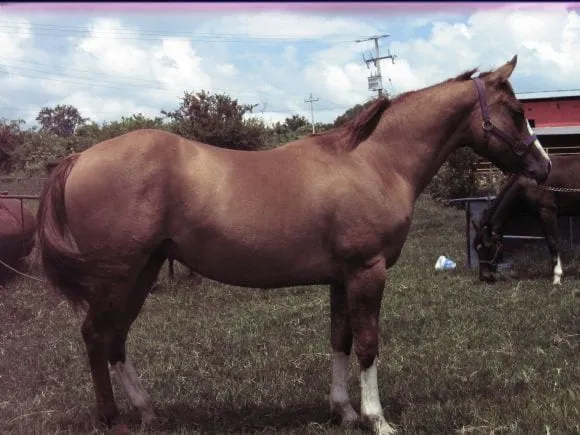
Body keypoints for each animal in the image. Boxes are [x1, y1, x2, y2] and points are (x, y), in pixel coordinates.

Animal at [34, 58, 552, 435]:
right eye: (517, 112)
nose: (544, 166)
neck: (376, 161)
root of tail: (79, 157)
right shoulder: (368, 271)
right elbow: (368, 344)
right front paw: (377, 419)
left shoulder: (343, 278)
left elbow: (340, 340)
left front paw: (343, 412)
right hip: (117, 276)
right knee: (96, 336)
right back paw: (112, 419)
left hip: (142, 271)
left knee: (115, 339)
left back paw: (147, 412)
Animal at [474, 154, 580, 286]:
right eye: (475, 248)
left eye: (487, 247)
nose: (484, 277)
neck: (531, 183)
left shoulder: (547, 212)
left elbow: (553, 243)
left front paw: (557, 277)